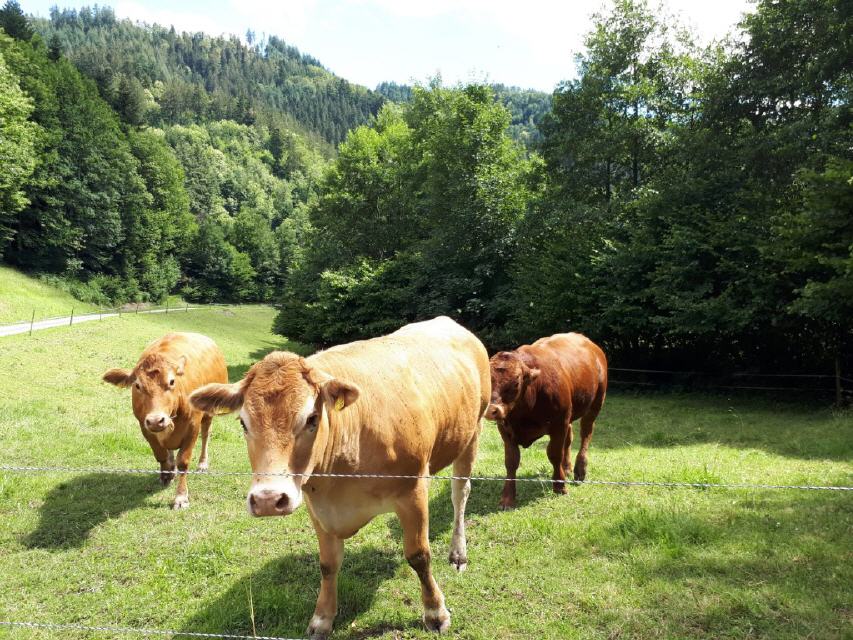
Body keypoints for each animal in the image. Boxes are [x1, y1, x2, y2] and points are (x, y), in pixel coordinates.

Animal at [102, 332, 228, 509]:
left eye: (172, 381)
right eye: (137, 385)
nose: (156, 420)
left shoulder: (192, 427)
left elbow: (183, 461)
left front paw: (181, 497)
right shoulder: (145, 427)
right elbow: (161, 455)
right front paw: (167, 473)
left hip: (209, 412)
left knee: (206, 435)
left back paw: (202, 464)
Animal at [188, 316, 489, 639]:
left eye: (311, 418)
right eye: (243, 423)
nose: (268, 500)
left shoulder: (414, 491)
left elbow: (419, 555)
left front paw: (435, 611)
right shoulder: (316, 505)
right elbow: (328, 564)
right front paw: (322, 618)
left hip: (473, 433)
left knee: (460, 494)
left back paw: (458, 553)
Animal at [485, 333, 607, 510]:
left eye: (516, 382)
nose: (491, 409)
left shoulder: (558, 424)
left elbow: (554, 454)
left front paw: (560, 486)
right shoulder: (506, 430)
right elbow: (511, 461)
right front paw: (507, 498)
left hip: (596, 403)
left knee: (586, 433)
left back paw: (580, 469)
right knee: (569, 438)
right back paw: (567, 467)